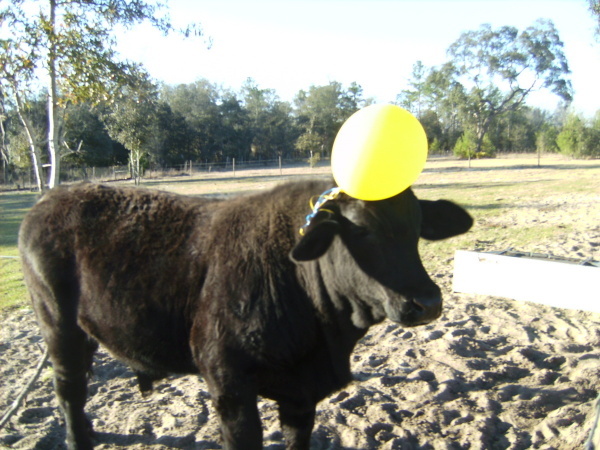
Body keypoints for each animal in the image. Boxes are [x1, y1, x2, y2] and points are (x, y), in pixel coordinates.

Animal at [18, 180, 474, 450]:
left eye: (418, 226)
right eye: (359, 229)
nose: (427, 302)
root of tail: (53, 197)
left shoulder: (300, 396)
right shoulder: (228, 383)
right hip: (58, 325)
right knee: (69, 390)